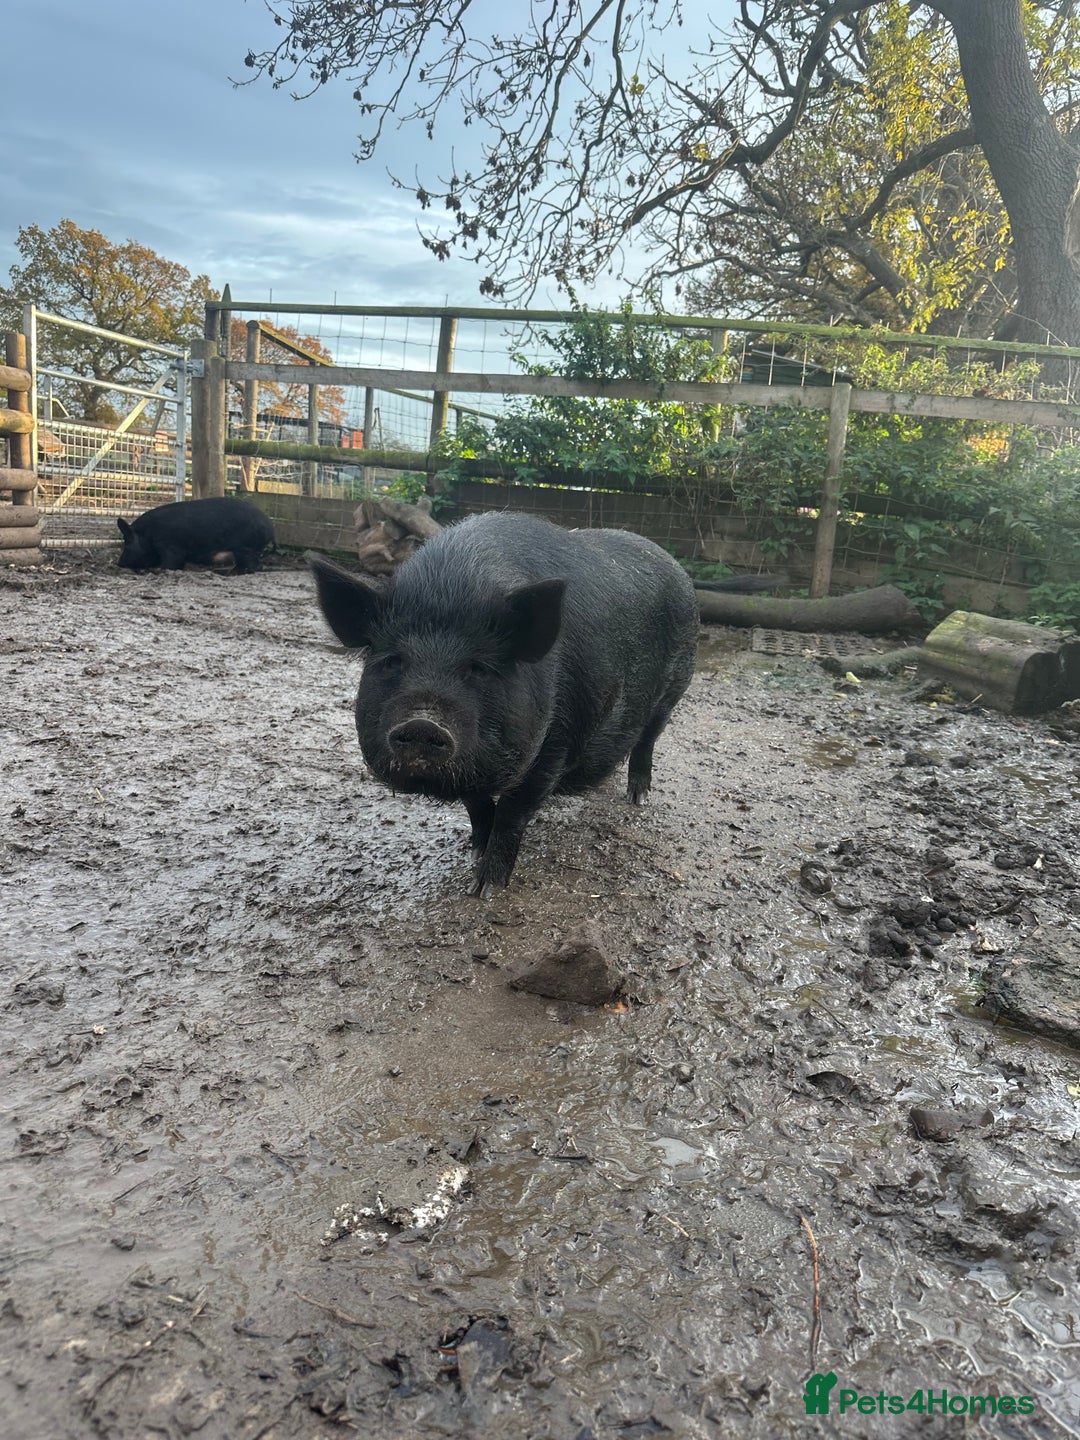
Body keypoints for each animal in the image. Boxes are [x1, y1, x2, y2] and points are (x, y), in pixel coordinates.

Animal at [117, 497, 274, 573]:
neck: (148, 535)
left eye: (127, 541)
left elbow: (171, 563)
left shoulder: (170, 546)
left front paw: (157, 570)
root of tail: (269, 525)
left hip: (246, 547)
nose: (119, 563)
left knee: (252, 565)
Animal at [310, 512, 700, 895]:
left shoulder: (556, 740)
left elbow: (513, 811)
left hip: (675, 687)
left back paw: (638, 798)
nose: (423, 721)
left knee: (647, 741)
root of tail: (674, 565)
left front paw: (485, 889)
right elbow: (477, 806)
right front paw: (475, 851)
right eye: (392, 661)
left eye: (479, 668)